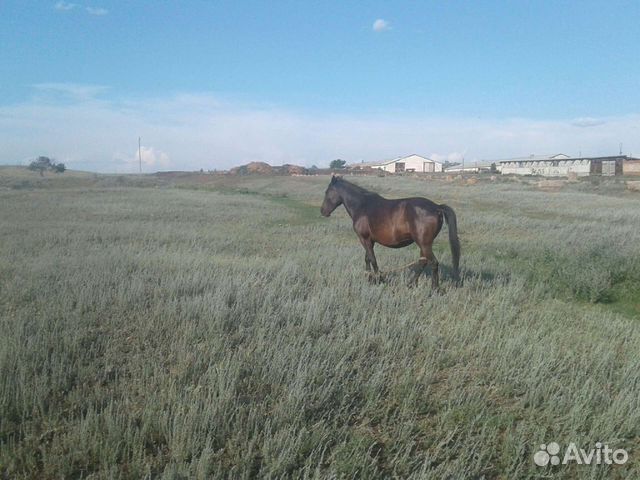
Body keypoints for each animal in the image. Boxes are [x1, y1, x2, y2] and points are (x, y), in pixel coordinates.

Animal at [320, 176, 460, 288]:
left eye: (327, 192)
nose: (323, 212)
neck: (362, 205)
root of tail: (437, 207)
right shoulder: (370, 240)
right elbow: (367, 258)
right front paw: (369, 278)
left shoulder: (364, 238)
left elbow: (372, 259)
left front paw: (379, 279)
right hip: (424, 244)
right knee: (423, 262)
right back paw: (410, 284)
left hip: (424, 244)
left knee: (433, 263)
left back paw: (434, 289)